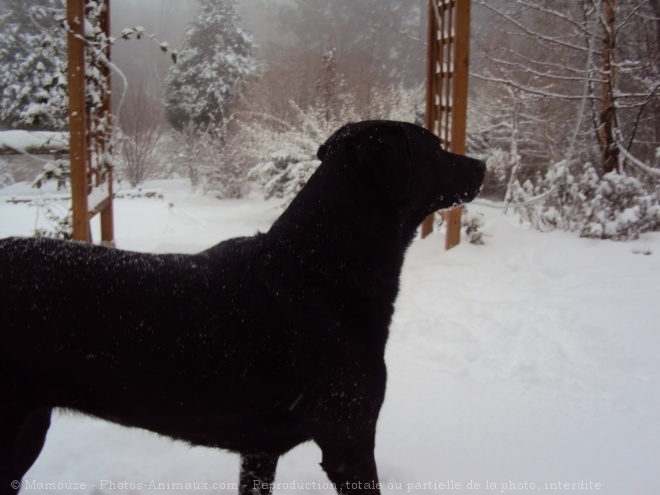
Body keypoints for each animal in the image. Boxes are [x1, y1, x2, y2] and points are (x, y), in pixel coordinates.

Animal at [0, 121, 484, 495]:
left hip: (27, 429)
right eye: (435, 148)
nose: (481, 164)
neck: (320, 266)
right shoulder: (350, 444)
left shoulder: (259, 451)